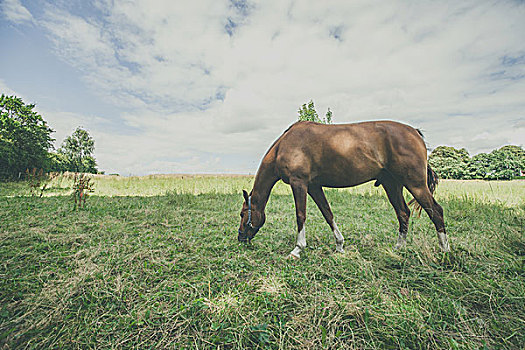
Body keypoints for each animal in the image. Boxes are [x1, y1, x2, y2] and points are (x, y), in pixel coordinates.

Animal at [238, 120, 450, 258]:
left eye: (242, 214)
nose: (240, 238)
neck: (284, 144)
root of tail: (414, 132)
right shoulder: (314, 187)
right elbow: (327, 213)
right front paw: (339, 245)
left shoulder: (299, 184)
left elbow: (301, 215)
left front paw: (297, 249)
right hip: (392, 184)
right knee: (403, 213)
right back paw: (399, 247)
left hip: (416, 184)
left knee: (436, 211)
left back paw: (445, 251)